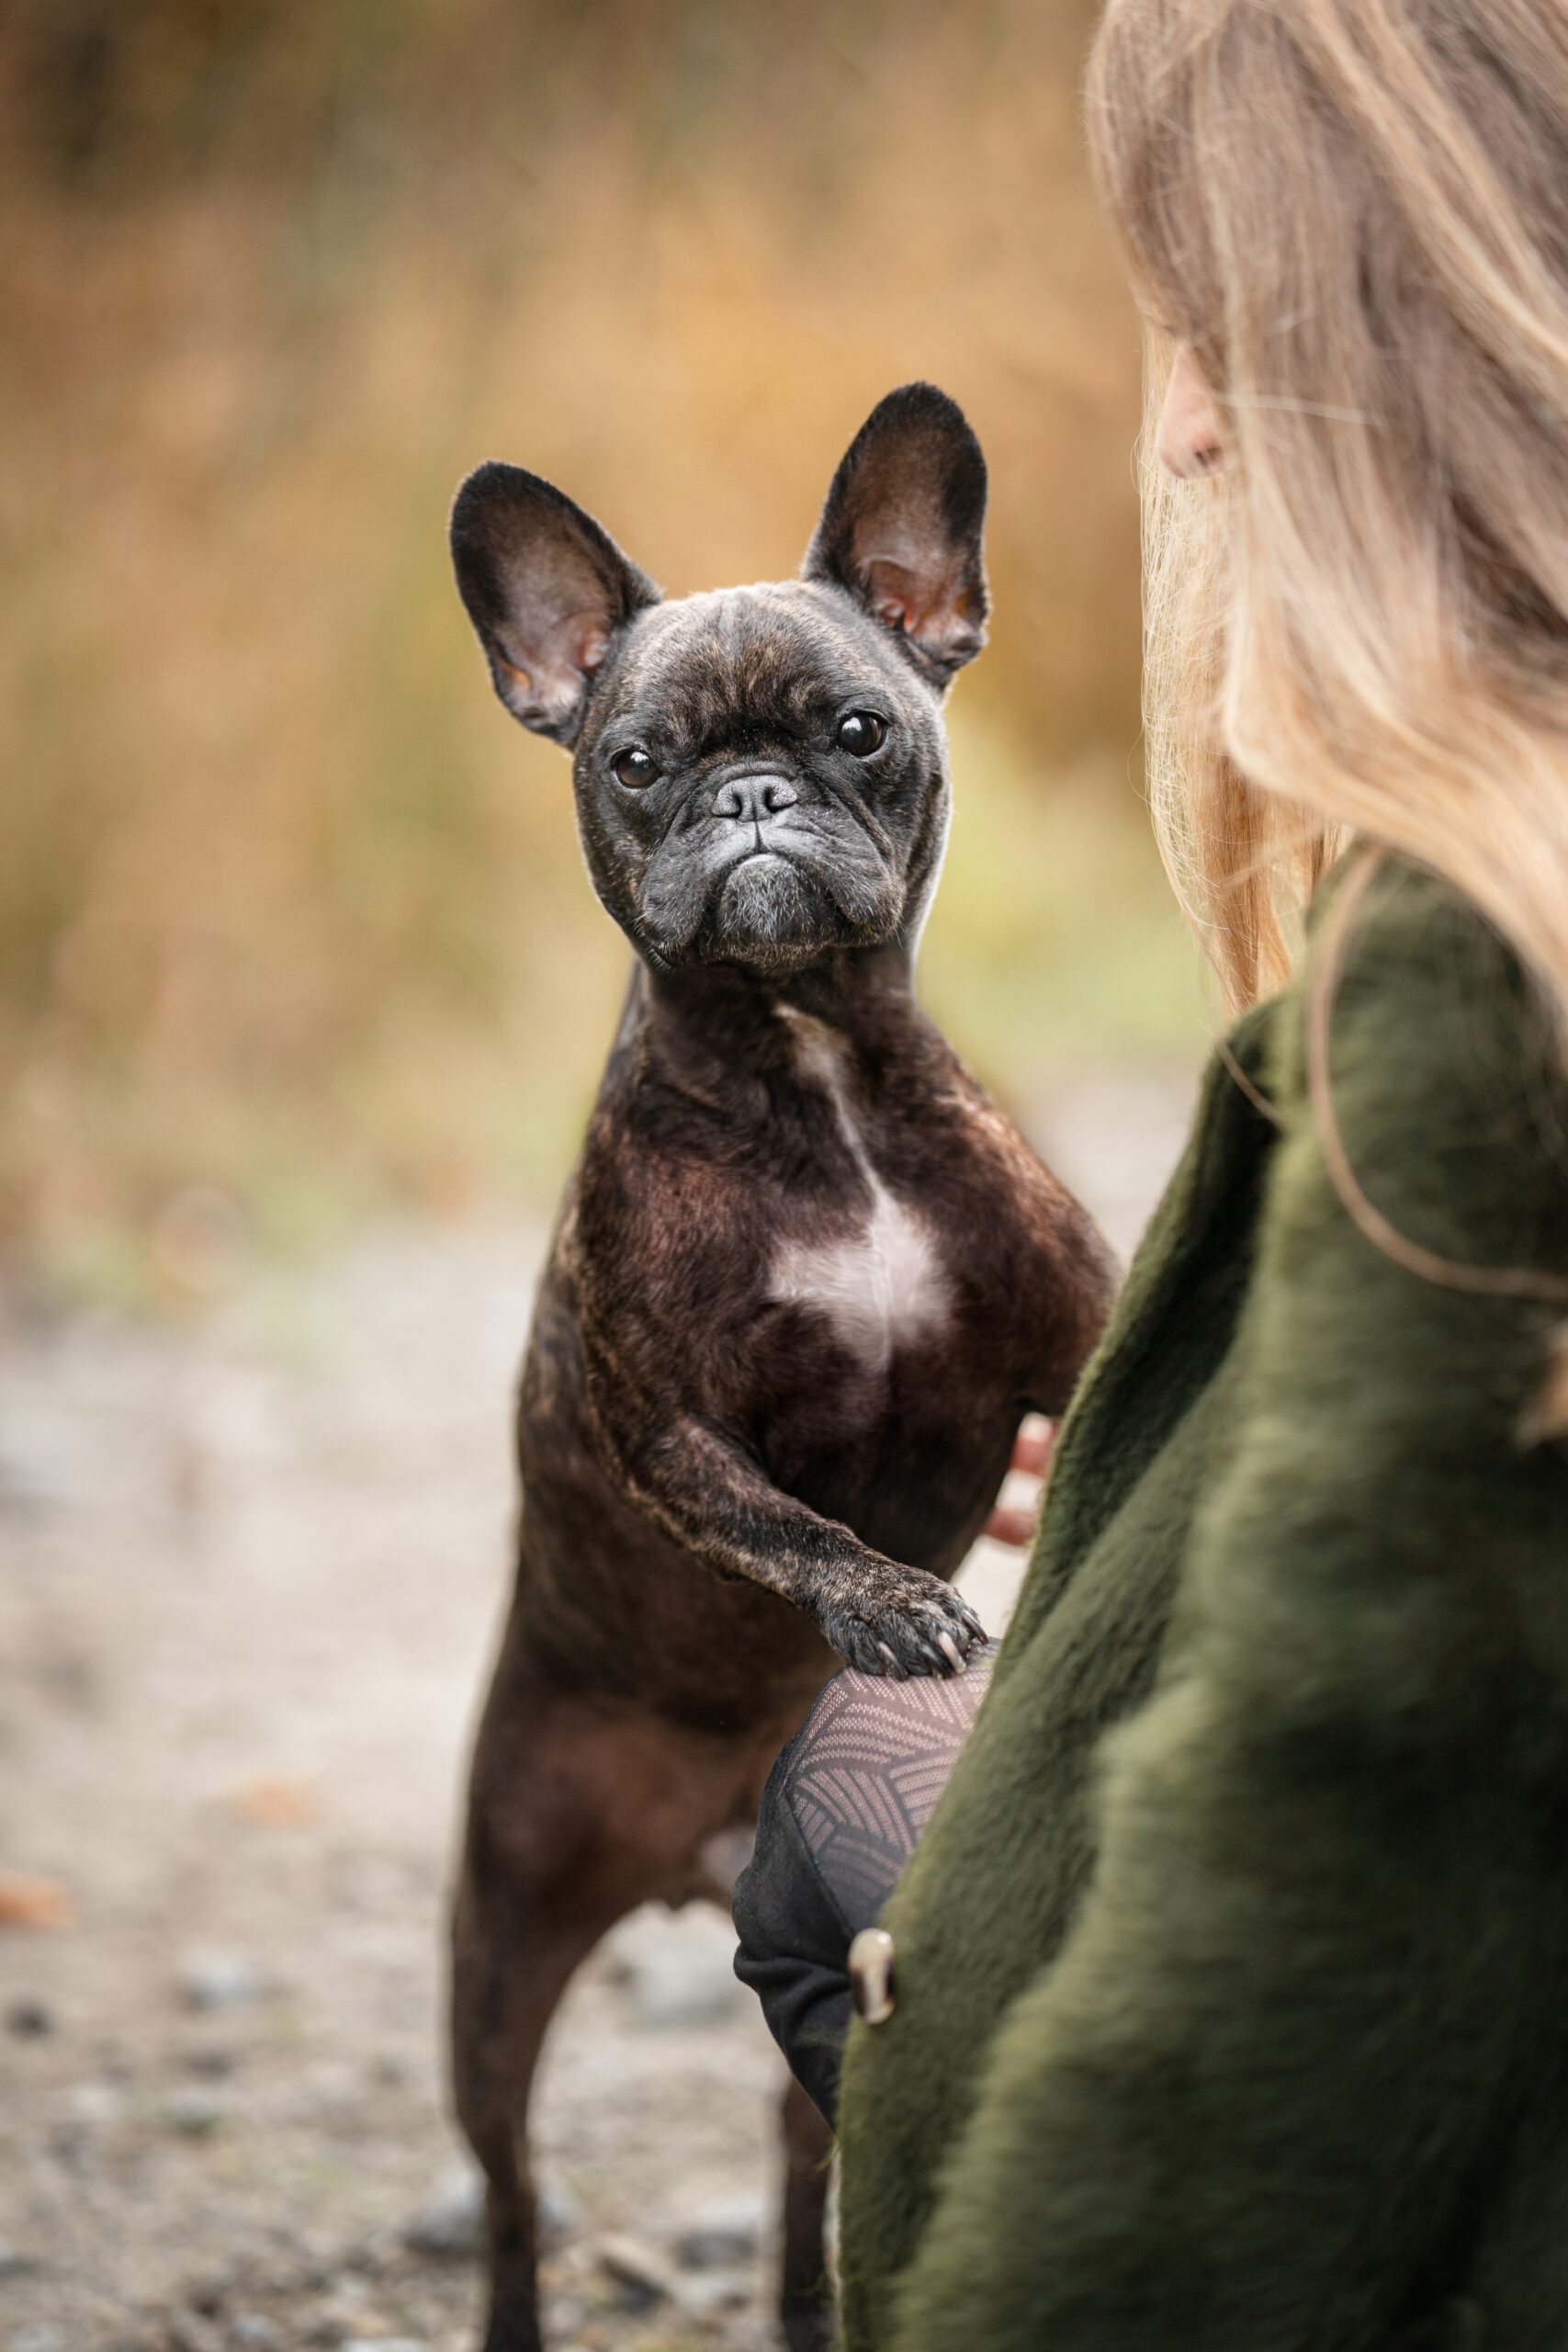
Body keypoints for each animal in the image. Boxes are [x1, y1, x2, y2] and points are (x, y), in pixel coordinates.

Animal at [446, 376, 1123, 2342]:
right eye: (633, 761)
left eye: (856, 730)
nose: (751, 795)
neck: (810, 1065)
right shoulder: (672, 1423)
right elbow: (787, 1520)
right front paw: (893, 1605)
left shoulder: (1066, 1345)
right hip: (494, 1963)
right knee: (507, 2185)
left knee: (804, 2155)